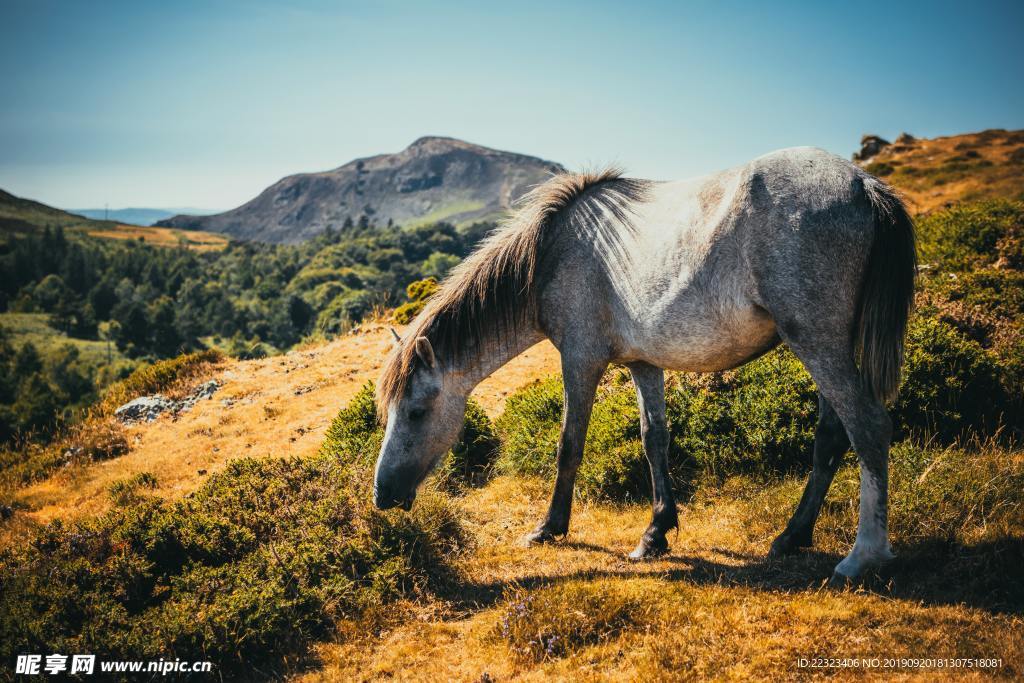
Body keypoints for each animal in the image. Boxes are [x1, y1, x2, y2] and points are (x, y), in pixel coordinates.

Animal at [372, 145, 917, 581]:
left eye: (416, 412)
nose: (382, 496)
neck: (552, 253)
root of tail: (863, 184)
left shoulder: (580, 360)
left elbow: (569, 444)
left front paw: (549, 527)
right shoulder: (643, 363)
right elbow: (654, 439)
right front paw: (656, 533)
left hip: (818, 343)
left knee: (868, 427)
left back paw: (863, 556)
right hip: (824, 347)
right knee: (831, 435)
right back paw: (793, 536)